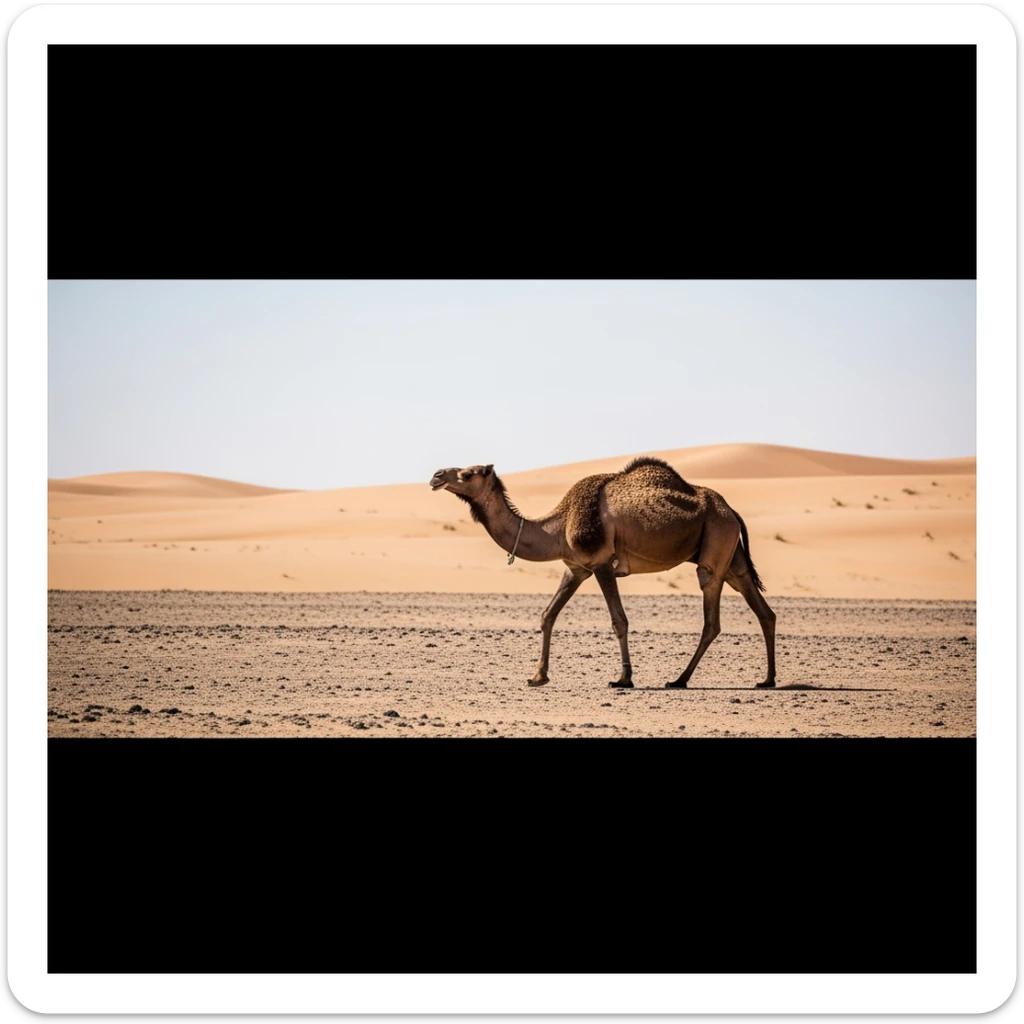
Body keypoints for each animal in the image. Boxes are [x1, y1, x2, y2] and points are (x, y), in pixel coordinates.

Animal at [429, 457, 776, 689]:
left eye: (468, 473)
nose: (436, 475)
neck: (558, 525)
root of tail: (732, 510)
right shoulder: (576, 569)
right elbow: (547, 614)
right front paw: (538, 676)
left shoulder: (600, 564)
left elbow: (619, 620)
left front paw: (623, 678)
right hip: (732, 556)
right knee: (763, 610)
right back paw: (767, 679)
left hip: (715, 545)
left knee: (711, 617)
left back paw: (679, 679)